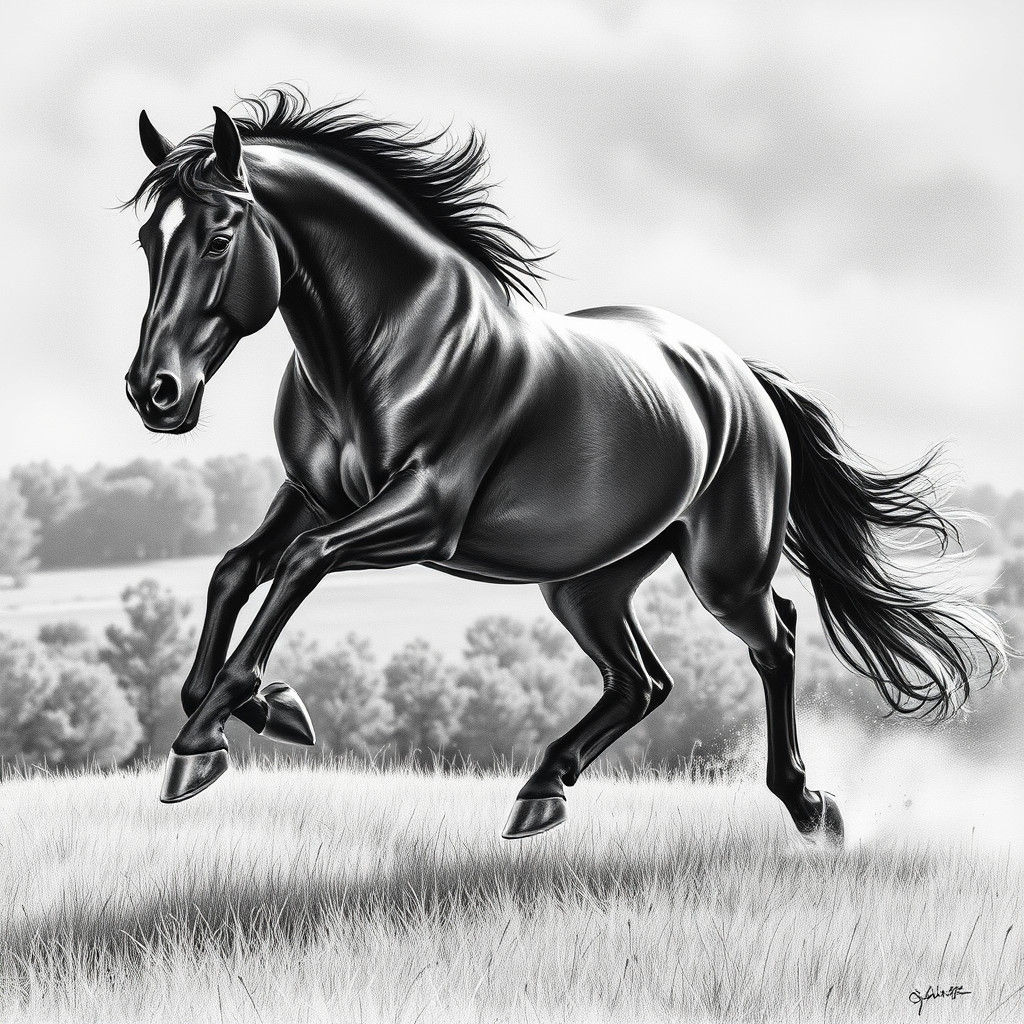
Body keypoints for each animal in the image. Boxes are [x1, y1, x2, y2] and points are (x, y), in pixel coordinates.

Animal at [124, 88, 1005, 845]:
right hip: (586, 583)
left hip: (722, 569)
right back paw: (541, 792)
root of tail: (741, 380)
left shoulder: (425, 514)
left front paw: (204, 743)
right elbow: (236, 569)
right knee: (642, 681)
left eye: (219, 237)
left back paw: (811, 807)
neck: (392, 342)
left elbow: (301, 564)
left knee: (776, 639)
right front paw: (268, 707)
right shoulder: (308, 494)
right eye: (148, 240)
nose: (153, 392)